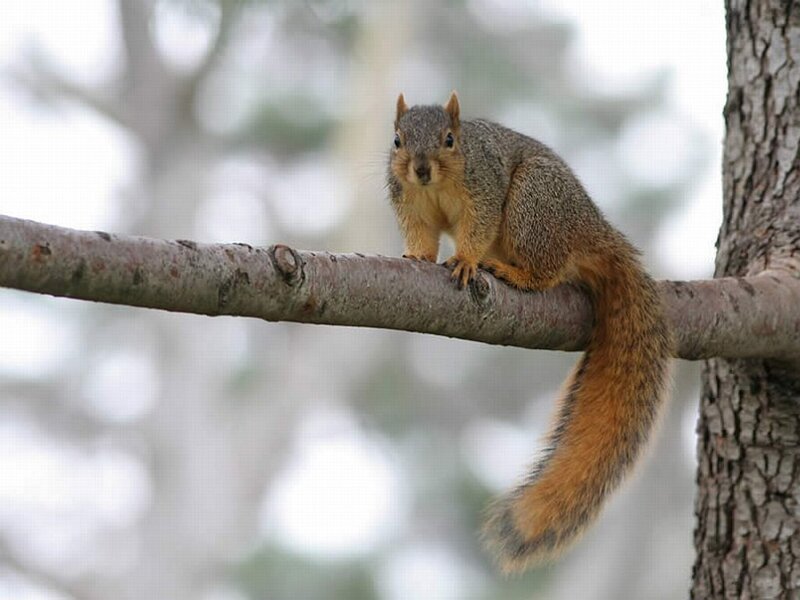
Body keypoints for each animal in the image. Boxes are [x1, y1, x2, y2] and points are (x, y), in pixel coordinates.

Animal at [386, 92, 673, 572]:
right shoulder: (408, 201)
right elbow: (421, 234)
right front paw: (418, 257)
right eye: (397, 140)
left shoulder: (485, 191)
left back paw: (513, 273)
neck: (435, 187)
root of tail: (593, 228)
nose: (421, 169)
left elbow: (477, 229)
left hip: (532, 203)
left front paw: (465, 260)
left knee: (548, 268)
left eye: (450, 139)